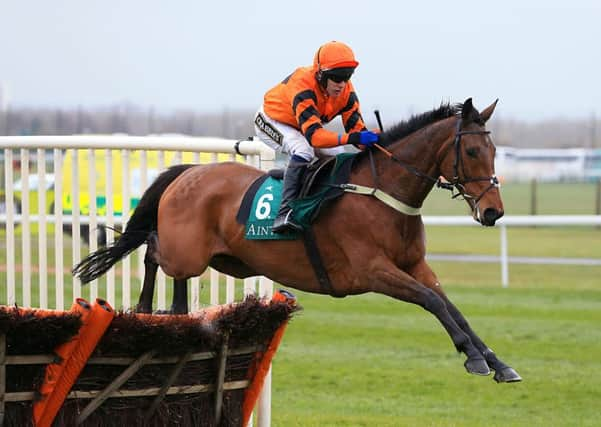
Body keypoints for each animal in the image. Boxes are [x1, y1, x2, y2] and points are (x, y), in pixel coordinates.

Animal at [74, 98, 520, 382]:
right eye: (474, 151)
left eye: (495, 149)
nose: (493, 212)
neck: (381, 192)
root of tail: (186, 172)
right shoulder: (373, 271)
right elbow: (432, 303)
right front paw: (474, 357)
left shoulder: (416, 266)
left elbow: (451, 306)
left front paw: (496, 362)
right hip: (187, 252)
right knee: (152, 247)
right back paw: (145, 306)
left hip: (220, 259)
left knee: (167, 266)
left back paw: (172, 312)